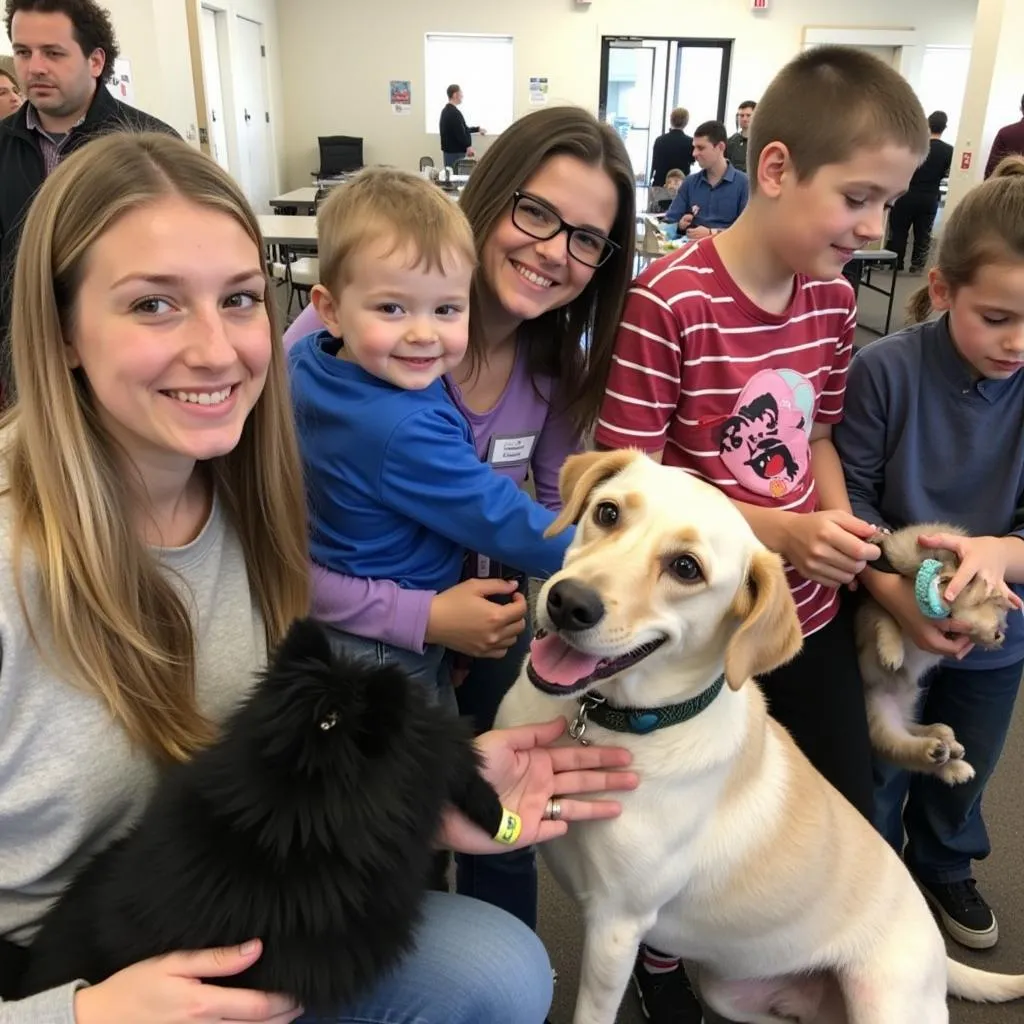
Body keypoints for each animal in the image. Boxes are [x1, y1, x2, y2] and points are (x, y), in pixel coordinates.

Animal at [856, 524, 1015, 786]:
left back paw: (952, 754)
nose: (1000, 638)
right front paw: (892, 652)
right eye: (997, 626)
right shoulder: (873, 611)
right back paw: (937, 751)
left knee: (930, 733)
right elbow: (887, 620)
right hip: (879, 716)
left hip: (897, 719)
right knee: (905, 749)